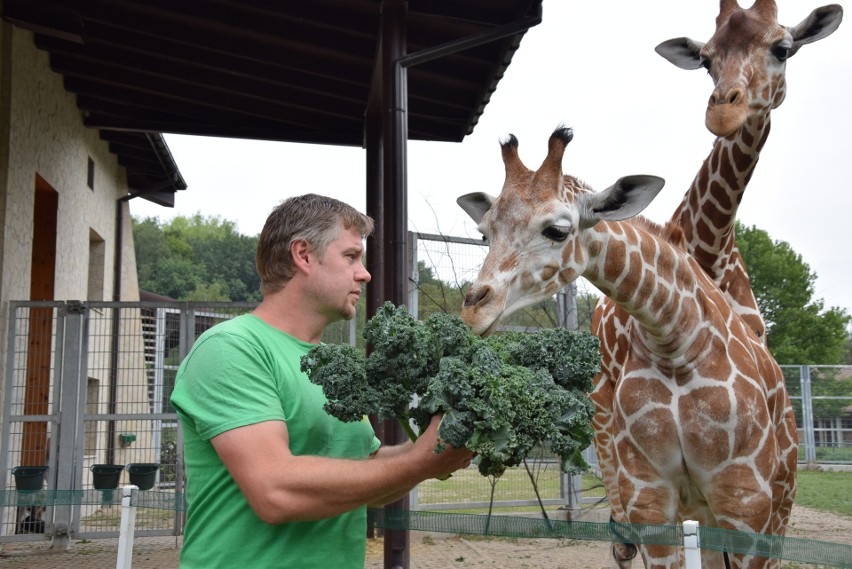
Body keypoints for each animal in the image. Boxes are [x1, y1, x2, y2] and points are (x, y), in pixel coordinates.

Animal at [460, 129, 800, 568]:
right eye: (485, 234)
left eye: (557, 230)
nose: (473, 313)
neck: (676, 338)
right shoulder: (648, 496)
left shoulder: (745, 501)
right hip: (702, 511)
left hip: (778, 505)